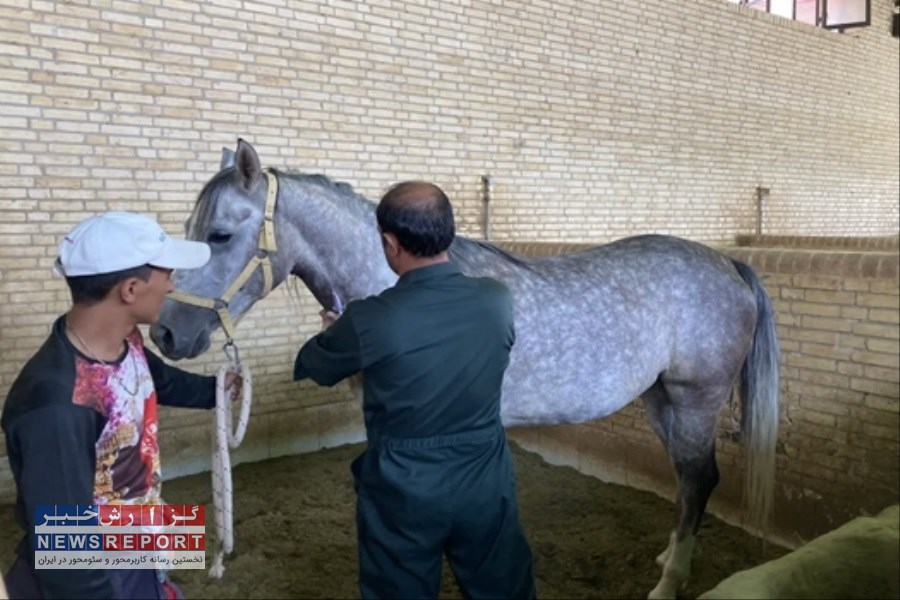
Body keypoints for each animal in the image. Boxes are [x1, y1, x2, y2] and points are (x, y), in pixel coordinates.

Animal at [149, 139, 780, 596]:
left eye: (220, 235)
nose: (164, 334)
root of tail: (729, 264)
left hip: (696, 399)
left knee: (699, 479)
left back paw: (669, 583)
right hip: (661, 400)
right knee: (688, 481)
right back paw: (671, 553)